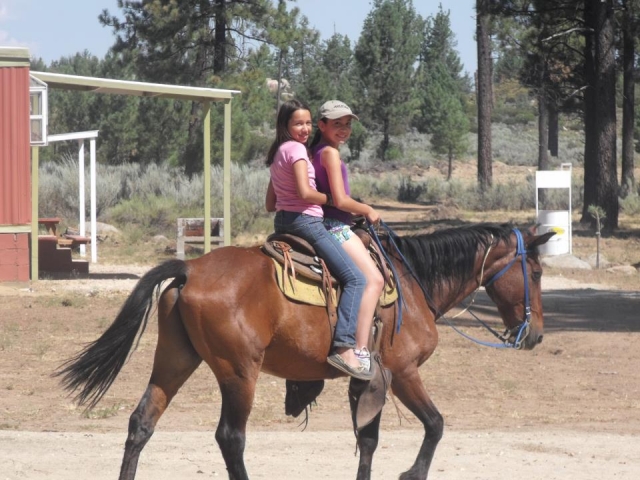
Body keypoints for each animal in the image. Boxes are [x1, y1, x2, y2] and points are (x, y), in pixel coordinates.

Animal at [56, 223, 554, 480]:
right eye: (536, 272)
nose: (536, 336)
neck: (413, 283)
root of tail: (190, 269)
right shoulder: (404, 373)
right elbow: (435, 425)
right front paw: (412, 474)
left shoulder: (367, 380)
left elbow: (367, 439)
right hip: (239, 372)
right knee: (230, 437)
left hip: (175, 360)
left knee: (141, 423)